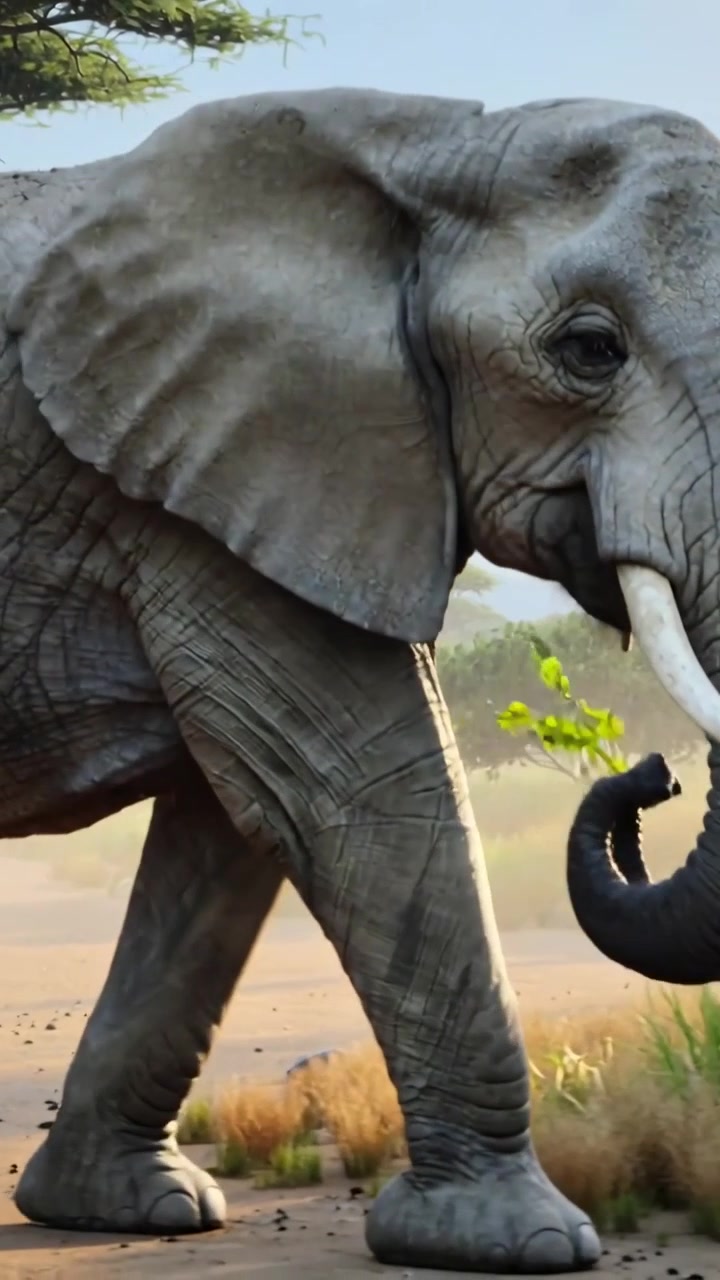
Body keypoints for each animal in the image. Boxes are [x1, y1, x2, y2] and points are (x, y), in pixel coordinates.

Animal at [2, 84, 720, 1275]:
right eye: (589, 349)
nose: (653, 774)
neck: (432, 142)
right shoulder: (206, 479)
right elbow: (363, 793)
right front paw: (512, 1239)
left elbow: (229, 836)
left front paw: (129, 1207)